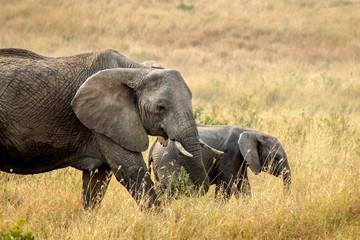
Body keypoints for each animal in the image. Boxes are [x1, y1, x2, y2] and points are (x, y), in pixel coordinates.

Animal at [148, 124, 292, 198]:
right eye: (276, 158)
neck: (254, 133)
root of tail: (154, 145)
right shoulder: (230, 156)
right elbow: (225, 187)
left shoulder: (241, 160)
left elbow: (244, 186)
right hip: (167, 159)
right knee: (170, 189)